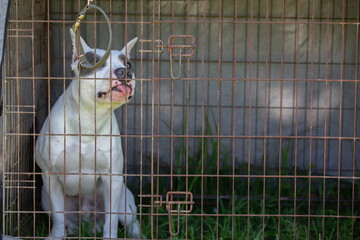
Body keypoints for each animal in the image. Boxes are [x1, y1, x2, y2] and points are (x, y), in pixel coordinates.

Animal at [34, 29, 139, 239]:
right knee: (66, 217)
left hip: (125, 199)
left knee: (131, 223)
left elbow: (111, 220)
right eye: (97, 61)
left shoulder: (113, 179)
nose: (125, 72)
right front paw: (56, 235)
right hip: (45, 197)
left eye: (128, 64)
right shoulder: (50, 176)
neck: (90, 120)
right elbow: (58, 215)